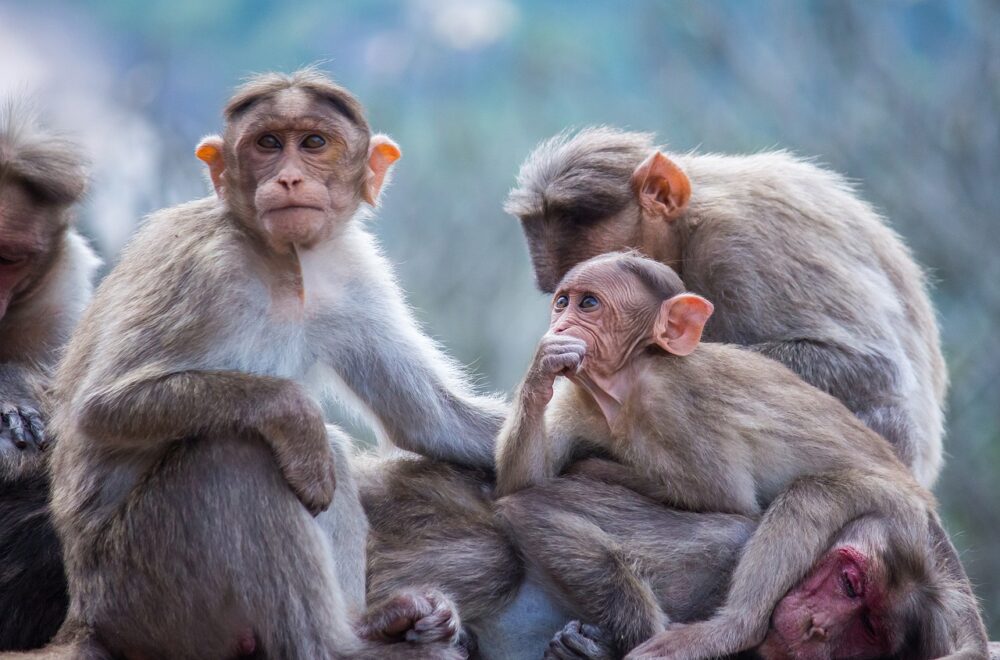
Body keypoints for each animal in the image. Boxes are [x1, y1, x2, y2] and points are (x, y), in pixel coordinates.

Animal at [44, 68, 505, 658]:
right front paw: (295, 412)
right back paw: (338, 645)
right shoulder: (201, 268)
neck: (279, 258)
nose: (288, 179)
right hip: (144, 596)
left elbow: (428, 419)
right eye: (267, 144)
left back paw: (375, 623)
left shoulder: (352, 270)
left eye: (313, 142)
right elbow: (101, 407)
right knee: (238, 453)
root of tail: (83, 617)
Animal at [493, 252, 987, 659]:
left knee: (815, 494)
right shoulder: (578, 399)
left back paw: (732, 629)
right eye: (563, 302)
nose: (560, 325)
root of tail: (926, 509)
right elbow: (527, 478)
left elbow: (726, 501)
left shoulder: (678, 407)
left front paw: (595, 466)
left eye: (589, 304)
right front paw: (543, 368)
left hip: (894, 505)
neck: (627, 383)